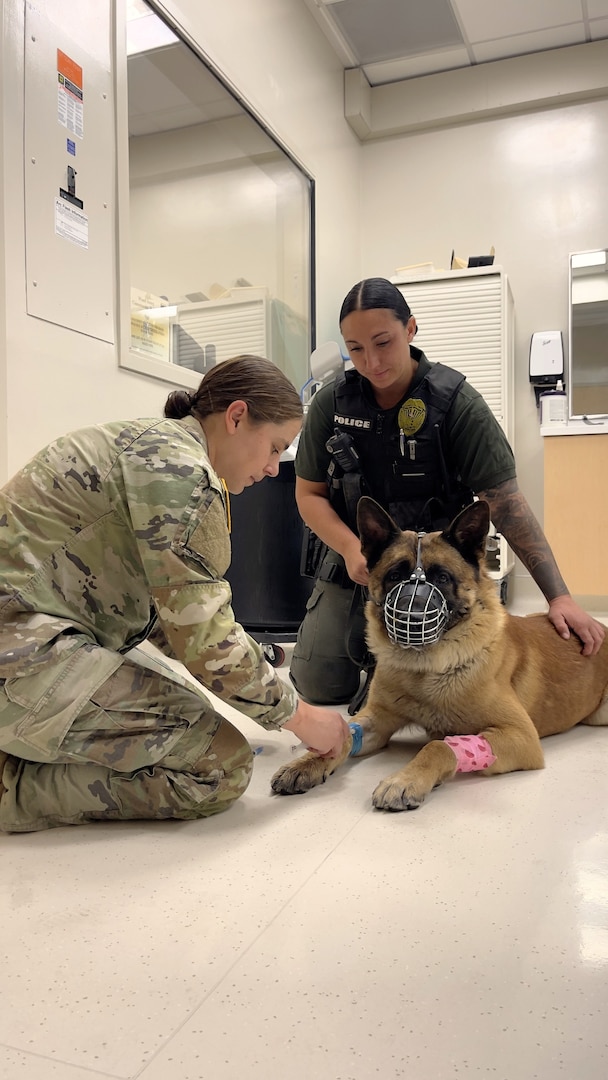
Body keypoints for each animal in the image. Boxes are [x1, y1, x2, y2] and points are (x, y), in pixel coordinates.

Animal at [273, 496, 608, 812]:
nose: (410, 618)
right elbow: (342, 736)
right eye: (395, 576)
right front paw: (307, 763)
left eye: (443, 578)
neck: (425, 669)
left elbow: (440, 746)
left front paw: (405, 779)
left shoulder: (520, 736)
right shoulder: (377, 720)